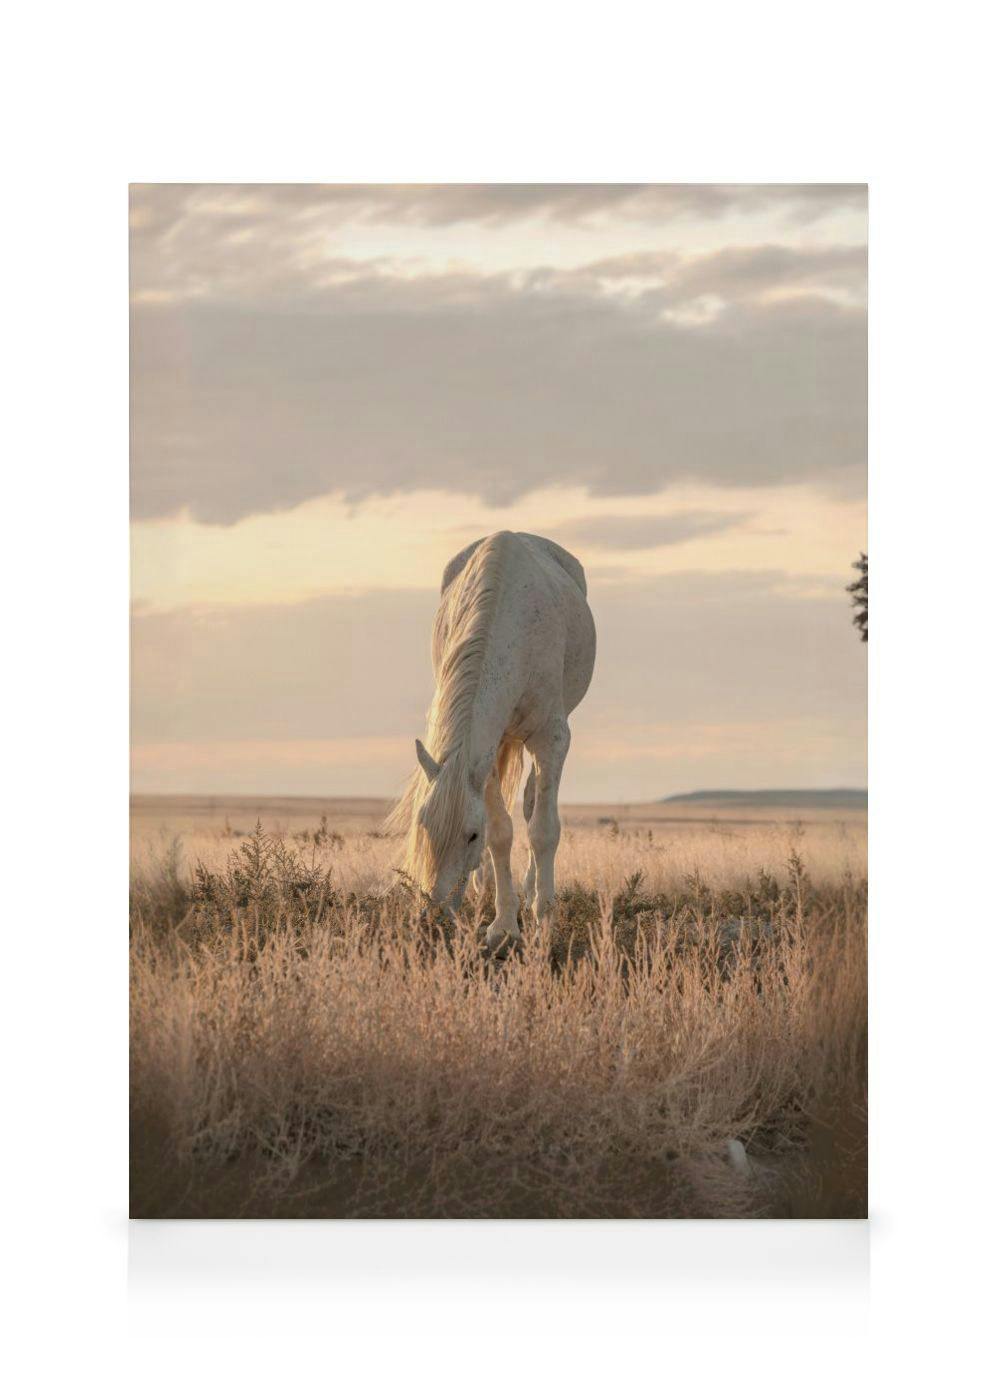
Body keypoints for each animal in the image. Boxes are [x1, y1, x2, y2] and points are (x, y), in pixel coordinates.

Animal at [386, 530, 596, 953]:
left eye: (470, 835)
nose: (435, 916)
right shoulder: (489, 746)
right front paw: (503, 926)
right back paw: (487, 888)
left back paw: (531, 893)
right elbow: (501, 832)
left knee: (532, 806)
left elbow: (543, 829)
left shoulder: (552, 738)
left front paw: (543, 921)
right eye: (423, 828)